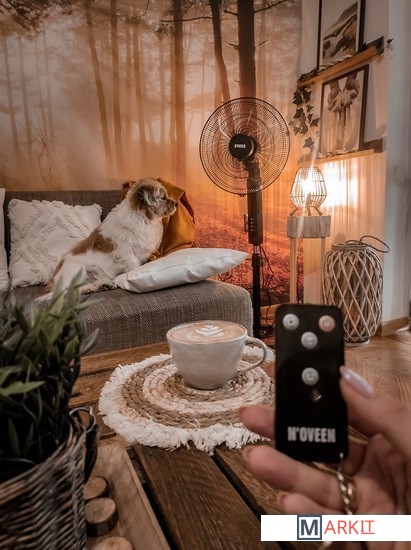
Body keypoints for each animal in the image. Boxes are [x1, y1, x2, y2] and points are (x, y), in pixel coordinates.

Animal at [46, 178, 177, 294]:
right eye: (163, 197)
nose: (176, 203)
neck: (141, 217)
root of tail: (54, 281)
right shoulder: (127, 254)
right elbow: (135, 266)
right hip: (77, 271)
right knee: (69, 290)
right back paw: (89, 288)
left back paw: (103, 285)